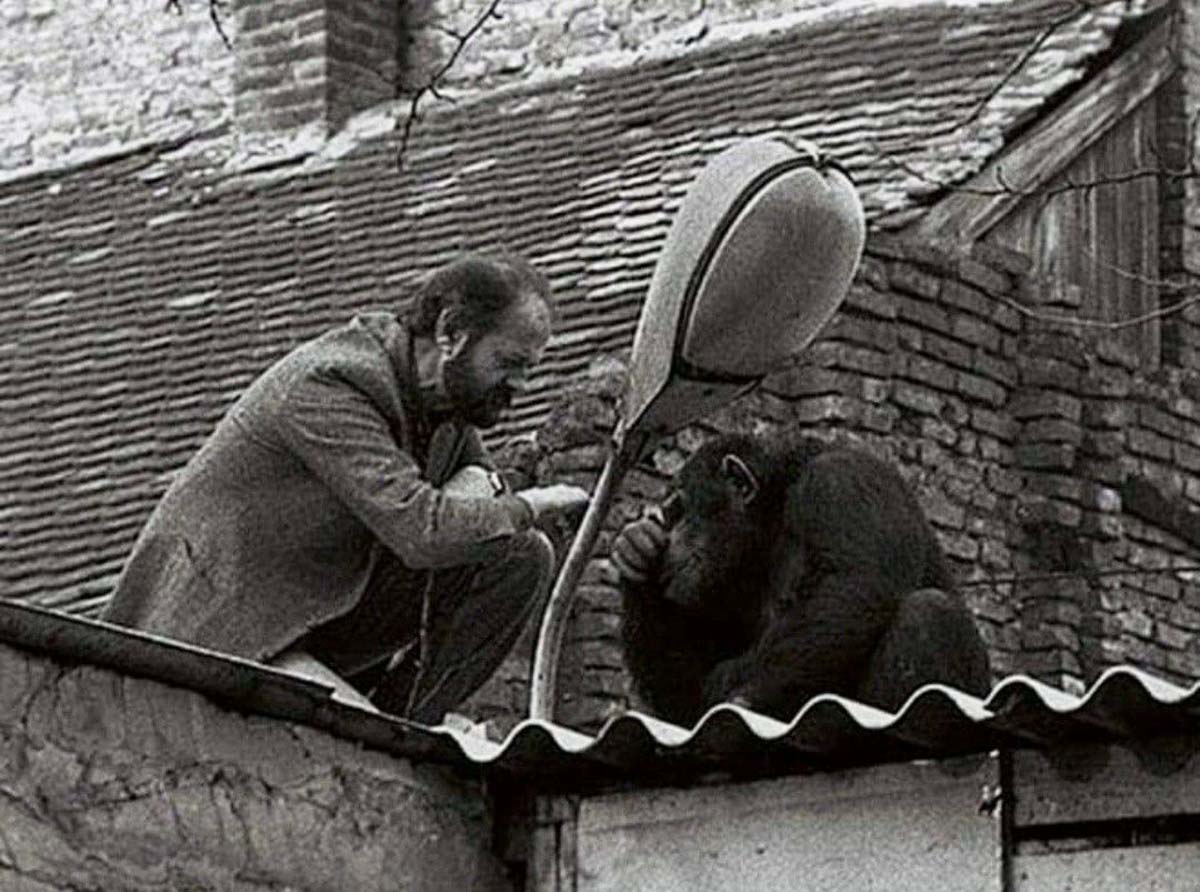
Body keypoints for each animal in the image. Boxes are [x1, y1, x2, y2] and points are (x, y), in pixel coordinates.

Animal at [614, 432, 988, 725]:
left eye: (680, 508)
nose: (668, 532)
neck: (773, 519)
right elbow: (685, 697)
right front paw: (637, 547)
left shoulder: (842, 483)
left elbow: (856, 586)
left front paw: (738, 695)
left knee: (929, 613)